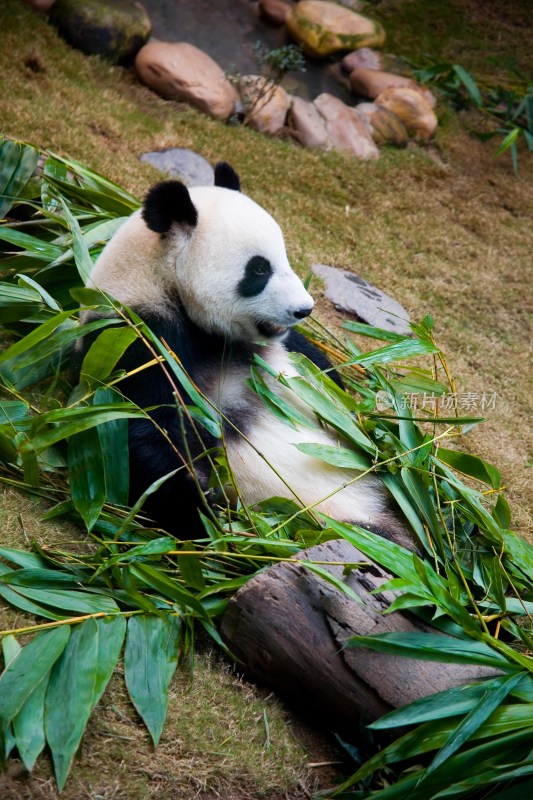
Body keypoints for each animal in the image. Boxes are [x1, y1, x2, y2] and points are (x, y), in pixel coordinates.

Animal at [81, 162, 412, 552]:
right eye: (259, 269)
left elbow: (320, 374)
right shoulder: (135, 339)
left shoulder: (273, 348)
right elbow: (146, 427)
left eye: (284, 257)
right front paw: (200, 514)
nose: (304, 310)